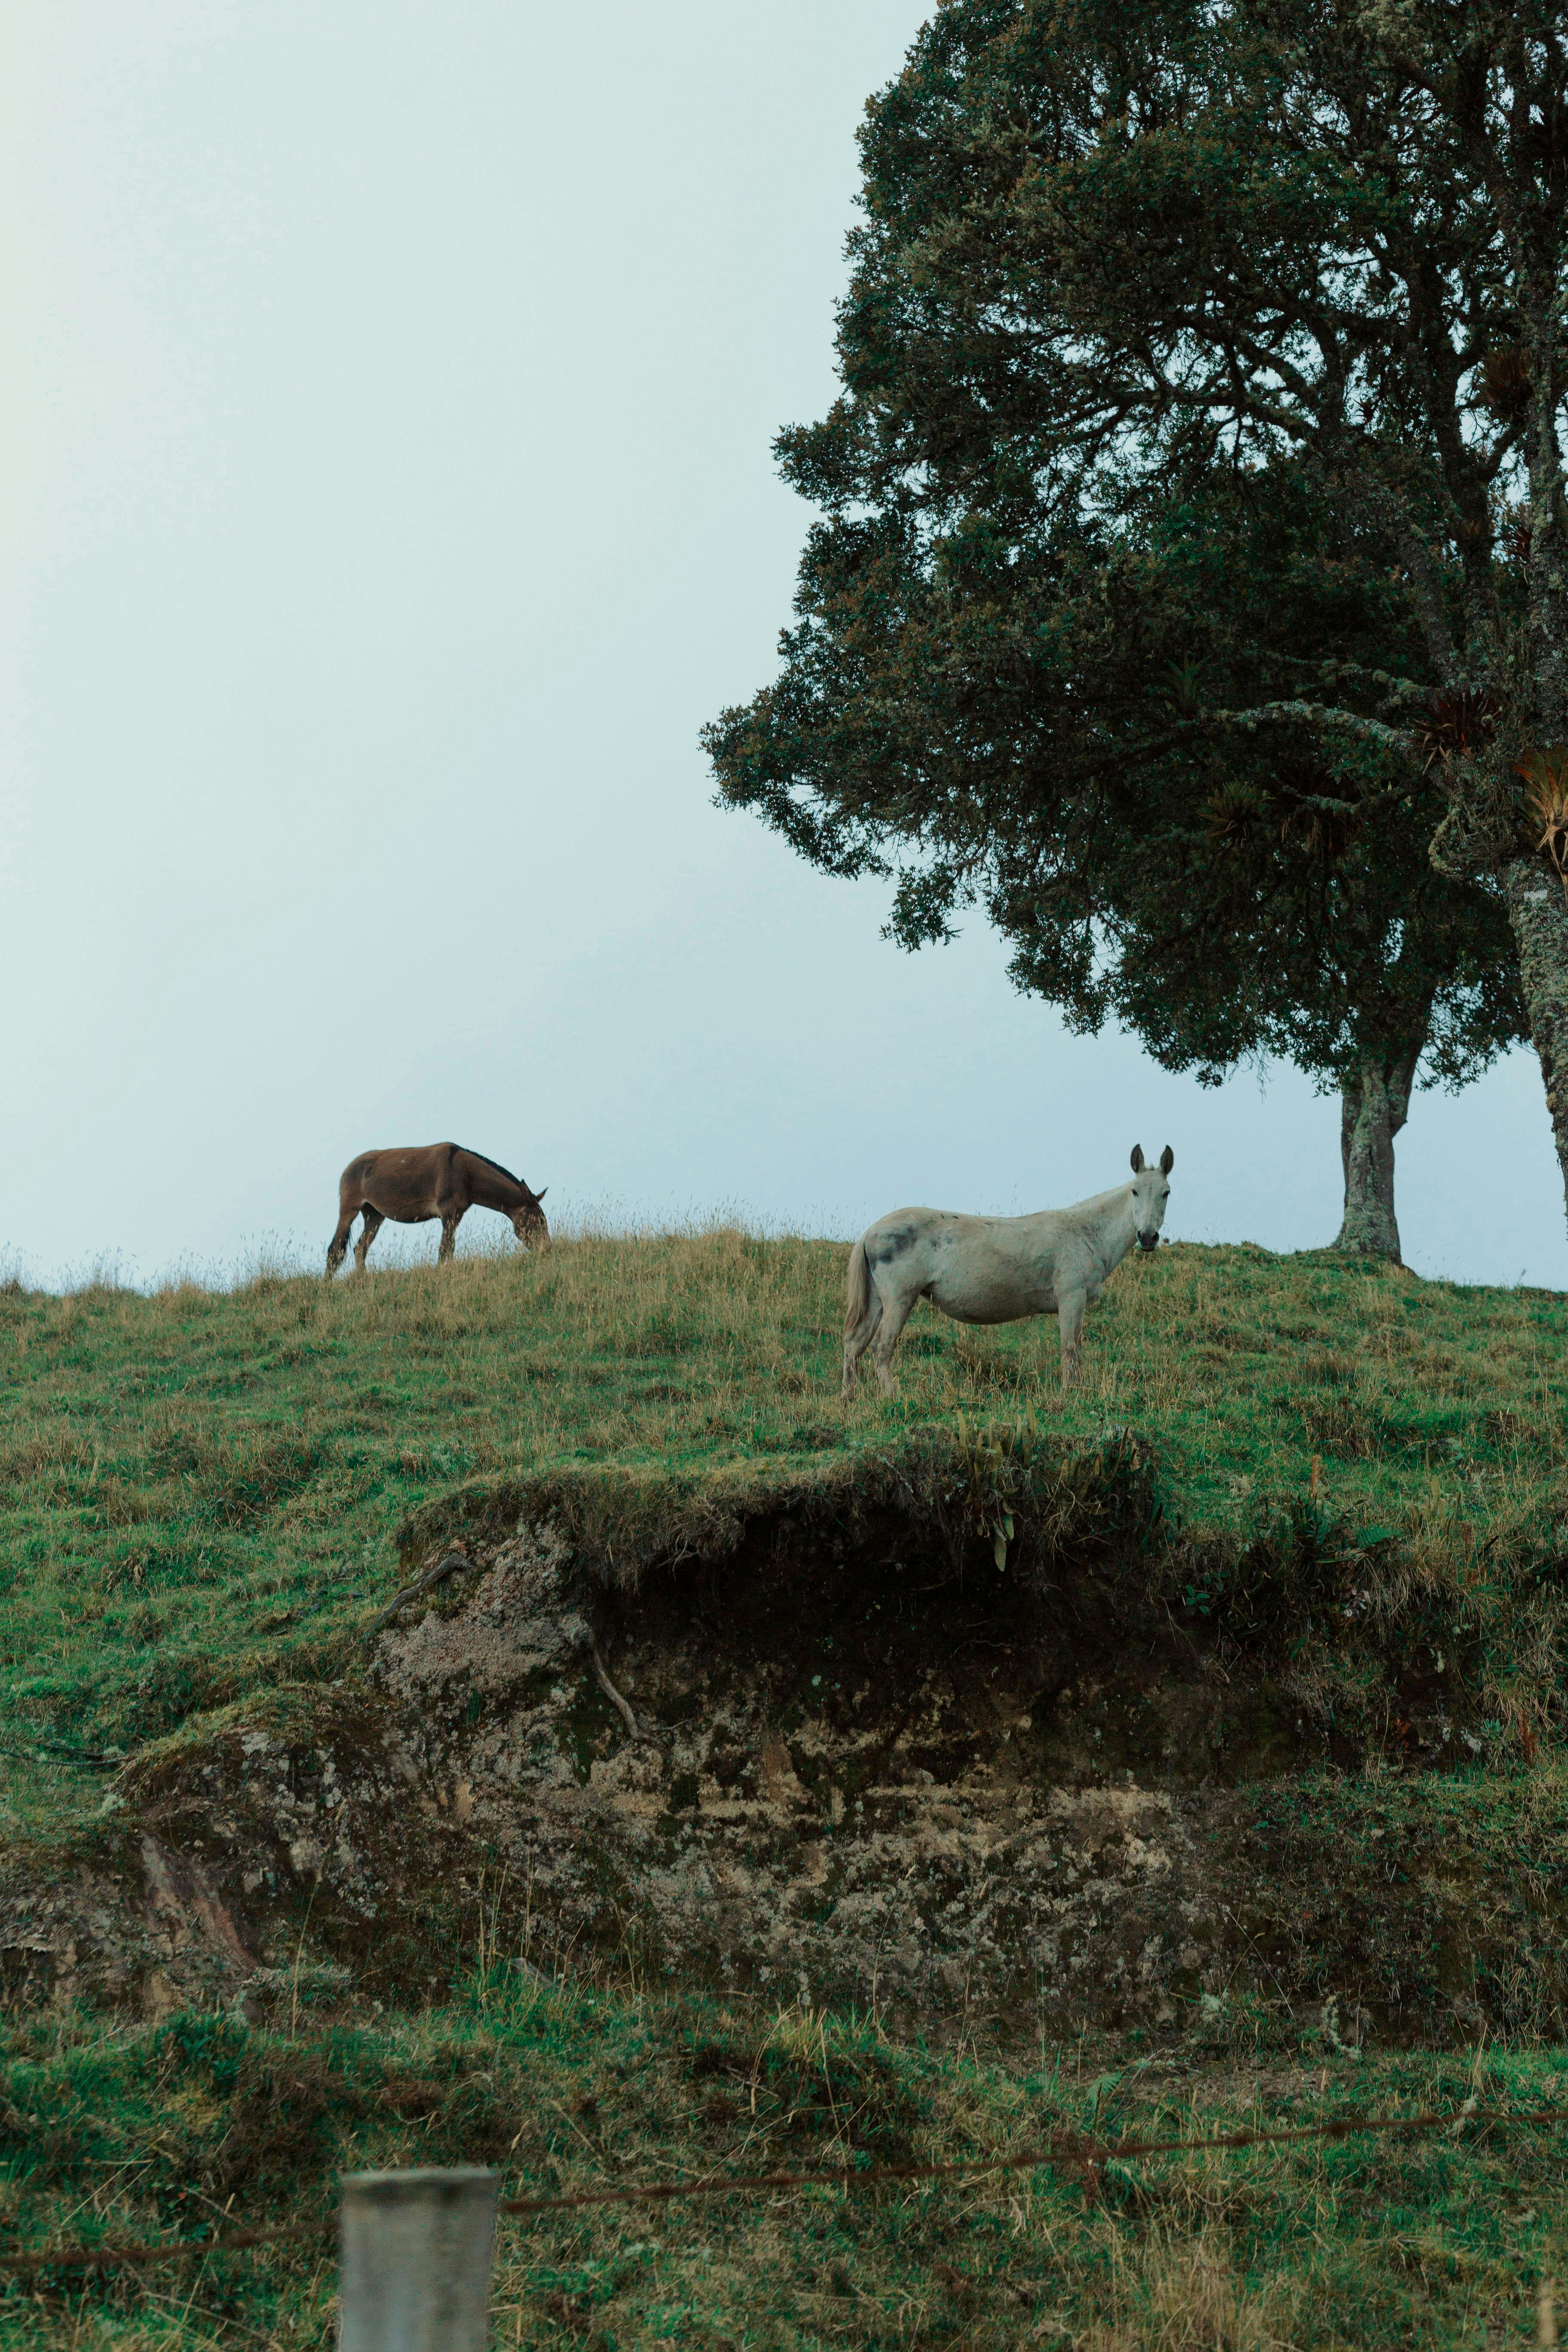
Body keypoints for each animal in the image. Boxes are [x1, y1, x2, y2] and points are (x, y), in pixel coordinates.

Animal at [326, 1143, 549, 1274]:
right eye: (538, 1221)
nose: (546, 1250)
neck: (465, 1173)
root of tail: (349, 1168)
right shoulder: (447, 1212)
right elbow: (445, 1248)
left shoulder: (457, 1215)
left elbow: (449, 1248)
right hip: (350, 1209)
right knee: (335, 1249)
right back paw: (328, 1285)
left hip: (374, 1214)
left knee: (360, 1248)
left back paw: (362, 1280)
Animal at [842, 1145, 1174, 1397]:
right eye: (1134, 1192)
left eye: (1166, 1193)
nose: (1147, 1237)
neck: (1087, 1232)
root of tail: (872, 1231)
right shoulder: (1072, 1297)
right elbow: (1070, 1348)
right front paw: (1072, 1394)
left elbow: (1074, 1349)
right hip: (900, 1298)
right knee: (882, 1348)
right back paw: (893, 1397)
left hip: (878, 1301)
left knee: (854, 1344)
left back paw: (850, 1398)